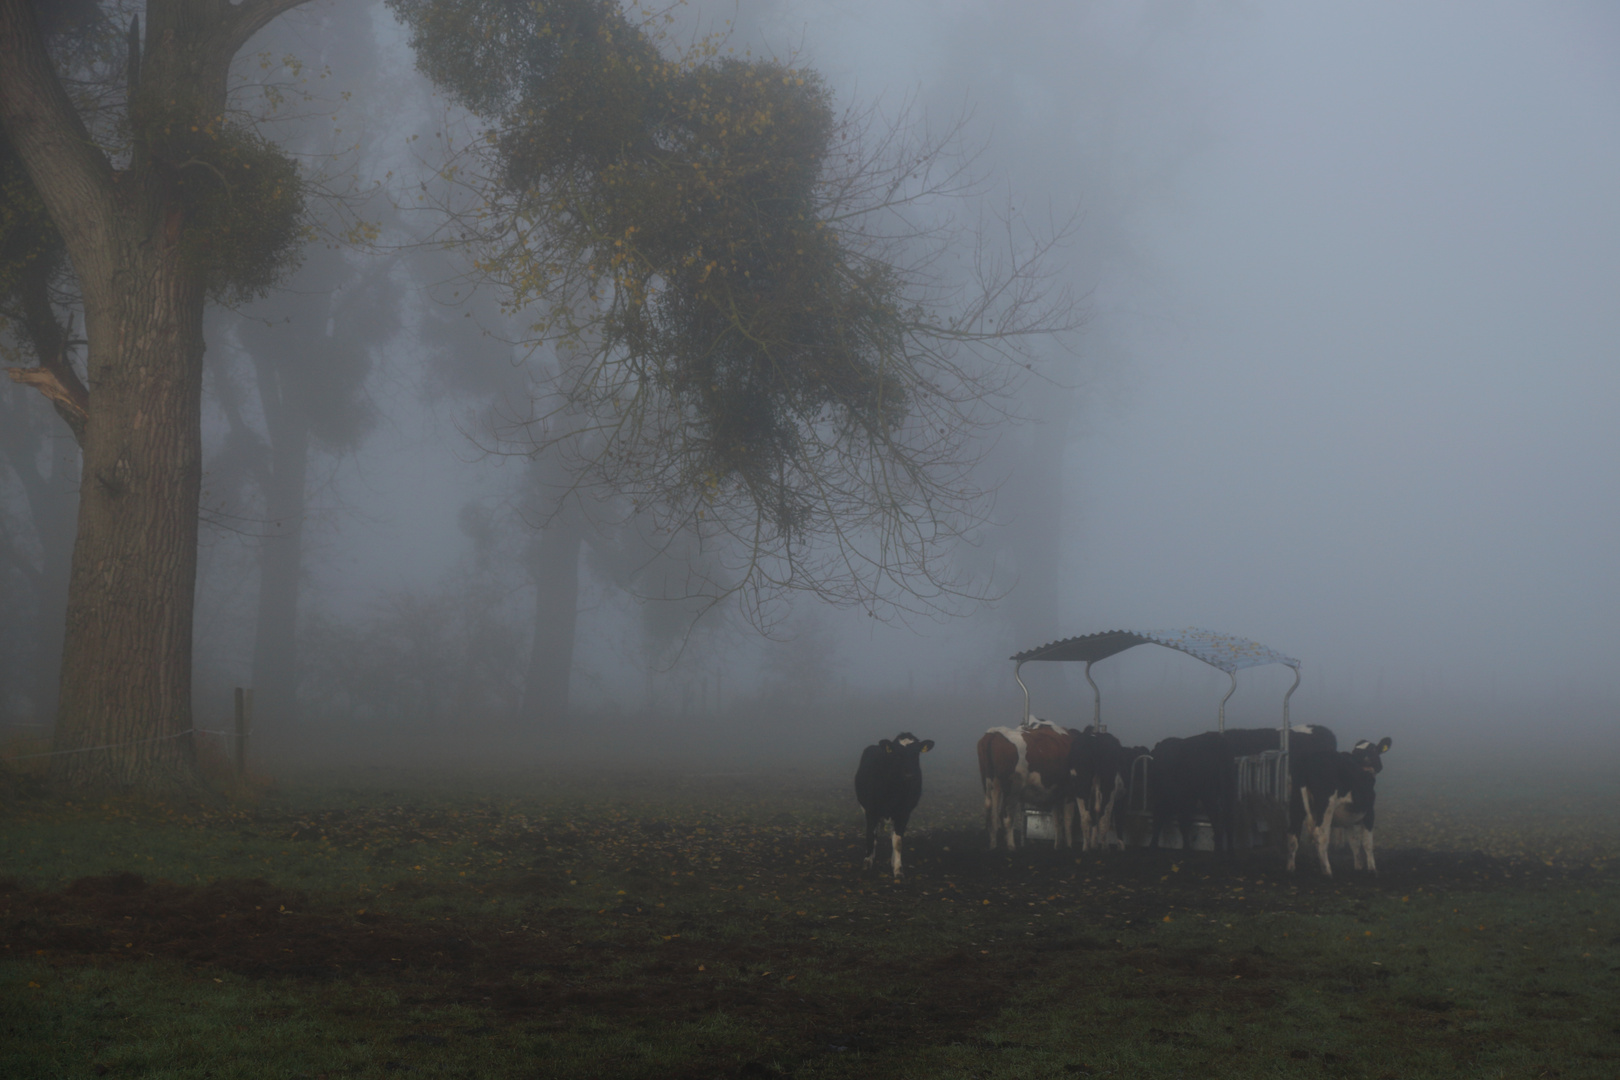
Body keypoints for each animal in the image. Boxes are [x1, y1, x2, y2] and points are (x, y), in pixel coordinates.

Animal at [848, 735, 939, 880]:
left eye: (916, 752)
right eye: (897, 753)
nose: (909, 774)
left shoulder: (904, 813)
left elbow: (897, 842)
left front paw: (898, 869)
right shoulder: (871, 811)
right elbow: (870, 837)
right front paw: (867, 863)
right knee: (874, 835)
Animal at [972, 718, 1075, 854]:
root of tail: (993, 734)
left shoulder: (1056, 794)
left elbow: (1058, 820)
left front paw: (1058, 846)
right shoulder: (1069, 792)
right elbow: (1068, 821)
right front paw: (1069, 846)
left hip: (991, 785)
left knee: (991, 815)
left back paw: (993, 845)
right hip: (1012, 790)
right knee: (1006, 817)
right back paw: (1011, 846)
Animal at [1062, 725, 1127, 854]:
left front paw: (1093, 844)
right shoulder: (1120, 797)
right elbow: (1118, 818)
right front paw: (1120, 845)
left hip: (1081, 789)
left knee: (1086, 818)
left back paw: (1086, 847)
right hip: (1108, 788)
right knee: (1103, 819)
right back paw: (1105, 848)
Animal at [1289, 735, 1393, 880]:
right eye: (1374, 750)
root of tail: (1308, 761)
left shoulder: (1348, 818)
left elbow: (1354, 842)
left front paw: (1358, 866)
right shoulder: (1369, 813)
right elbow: (1367, 843)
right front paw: (1372, 870)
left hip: (1296, 803)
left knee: (1293, 835)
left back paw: (1290, 868)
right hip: (1326, 806)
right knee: (1320, 835)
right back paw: (1327, 871)